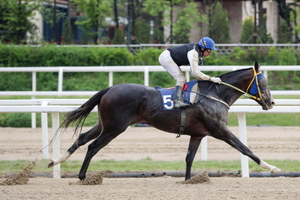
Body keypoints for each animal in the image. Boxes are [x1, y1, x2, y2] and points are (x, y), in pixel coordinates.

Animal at [48, 61, 280, 180]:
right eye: (263, 83)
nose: (271, 103)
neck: (214, 95)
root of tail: (110, 88)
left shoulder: (198, 134)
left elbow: (189, 158)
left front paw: (188, 180)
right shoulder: (220, 130)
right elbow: (245, 148)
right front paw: (271, 168)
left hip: (104, 124)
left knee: (82, 138)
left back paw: (55, 161)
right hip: (115, 128)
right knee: (93, 146)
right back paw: (81, 176)